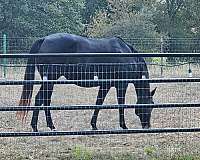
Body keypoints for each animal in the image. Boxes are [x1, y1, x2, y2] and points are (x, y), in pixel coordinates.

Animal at [16, 32, 156, 131]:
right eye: (150, 105)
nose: (147, 126)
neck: (127, 54)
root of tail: (44, 39)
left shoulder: (105, 84)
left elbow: (99, 103)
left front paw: (94, 125)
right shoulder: (122, 84)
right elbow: (121, 104)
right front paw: (123, 126)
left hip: (50, 81)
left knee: (45, 100)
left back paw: (49, 126)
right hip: (50, 80)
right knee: (40, 98)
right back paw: (37, 127)